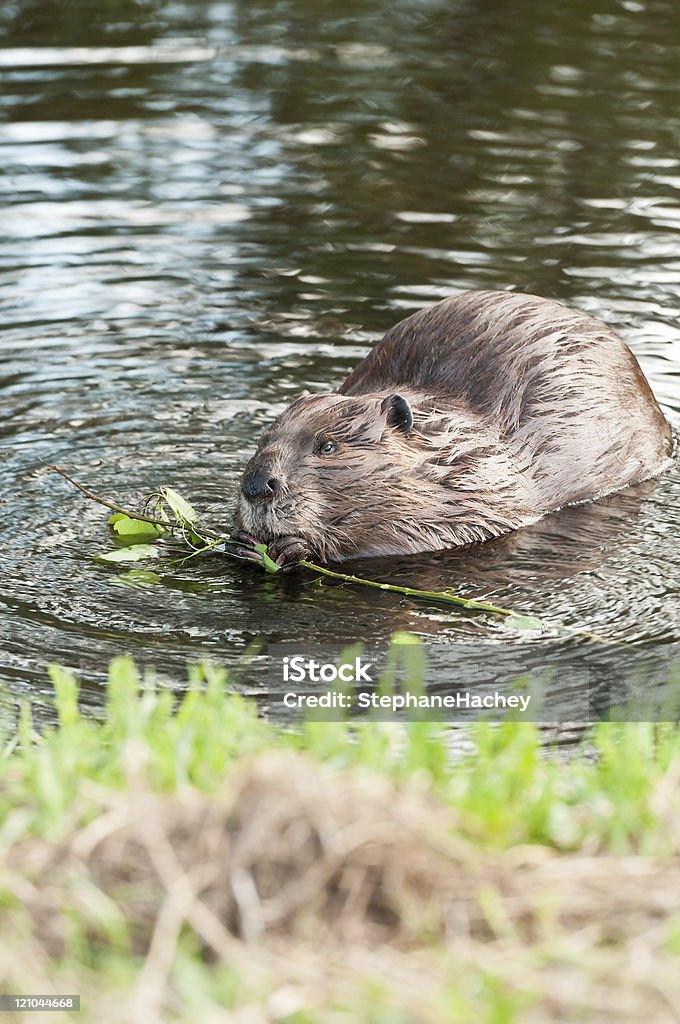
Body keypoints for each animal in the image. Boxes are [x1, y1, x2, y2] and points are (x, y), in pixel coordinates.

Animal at [231, 290, 671, 569]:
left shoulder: (482, 482)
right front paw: (240, 540)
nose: (256, 485)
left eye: (327, 446)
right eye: (264, 438)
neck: (448, 445)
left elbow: (438, 532)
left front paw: (293, 547)